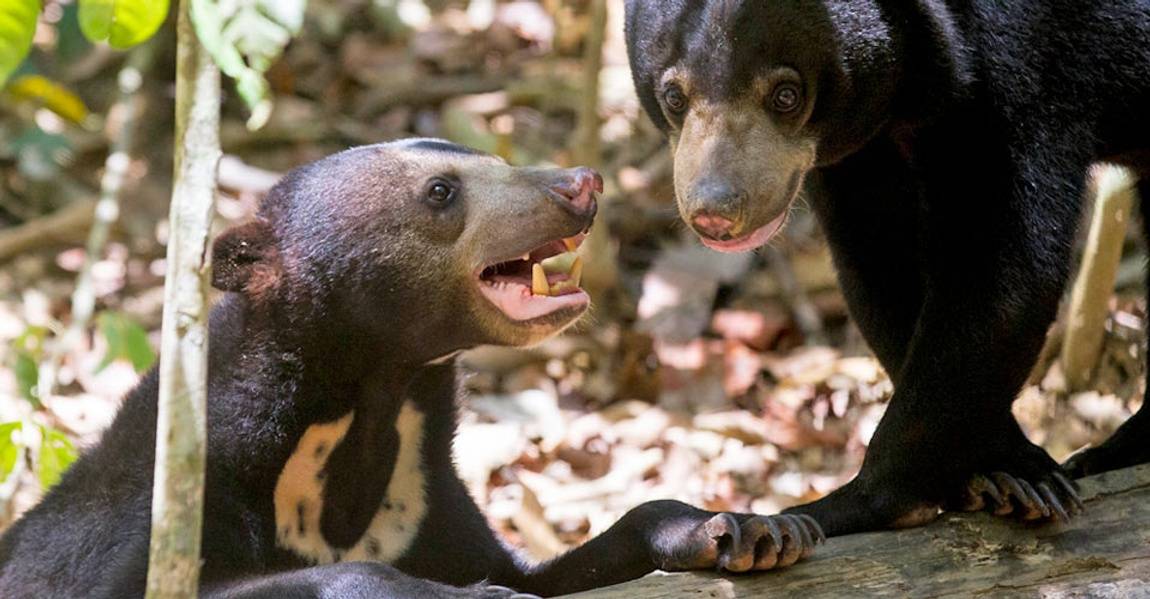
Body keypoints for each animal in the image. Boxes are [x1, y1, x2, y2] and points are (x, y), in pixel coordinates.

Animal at [0, 139, 828, 593]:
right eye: (440, 192)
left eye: (497, 160)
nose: (581, 183)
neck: (371, 403)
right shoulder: (171, 509)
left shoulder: (428, 502)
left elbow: (539, 571)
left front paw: (751, 528)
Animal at [625, 0, 1150, 533]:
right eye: (673, 96)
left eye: (786, 95)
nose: (716, 212)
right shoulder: (861, 147)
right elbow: (880, 259)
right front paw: (1006, 474)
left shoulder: (1025, 72)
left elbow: (1004, 272)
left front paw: (839, 506)